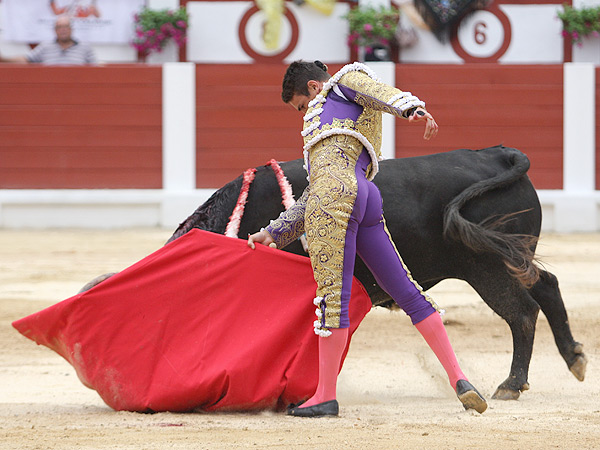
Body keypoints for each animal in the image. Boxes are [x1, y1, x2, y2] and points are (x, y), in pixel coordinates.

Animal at [164, 145, 584, 400]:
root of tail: (498, 154)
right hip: (511, 256)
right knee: (547, 286)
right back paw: (575, 359)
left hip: (486, 267)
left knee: (523, 312)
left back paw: (511, 384)